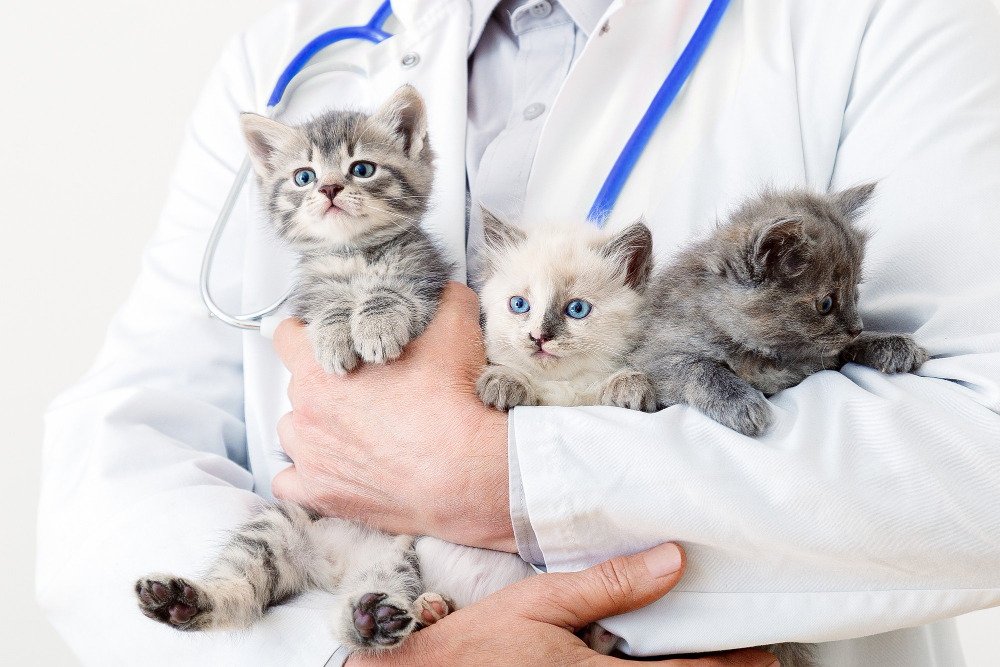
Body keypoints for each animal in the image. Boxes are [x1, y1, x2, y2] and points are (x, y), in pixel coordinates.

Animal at [238, 84, 450, 376]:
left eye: (362, 169)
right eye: (304, 177)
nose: (329, 188)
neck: (353, 254)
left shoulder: (425, 277)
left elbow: (390, 292)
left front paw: (378, 324)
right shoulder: (310, 292)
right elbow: (327, 305)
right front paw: (332, 333)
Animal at [474, 211, 656, 414]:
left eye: (577, 309)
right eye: (519, 304)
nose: (539, 337)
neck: (560, 386)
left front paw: (627, 384)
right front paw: (505, 379)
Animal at [632, 185, 928, 440]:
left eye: (855, 291)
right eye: (825, 304)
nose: (858, 327)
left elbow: (841, 349)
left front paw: (890, 344)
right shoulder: (652, 356)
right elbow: (699, 367)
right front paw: (740, 403)